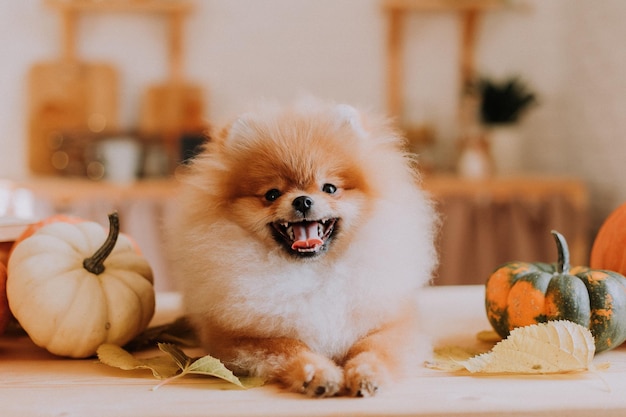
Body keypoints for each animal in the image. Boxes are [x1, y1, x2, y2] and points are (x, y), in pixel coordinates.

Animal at [167, 97, 438, 396]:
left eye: (329, 188)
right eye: (272, 194)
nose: (303, 200)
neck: (313, 273)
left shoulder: (394, 323)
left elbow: (374, 347)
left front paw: (367, 373)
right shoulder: (238, 338)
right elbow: (290, 347)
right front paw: (317, 374)